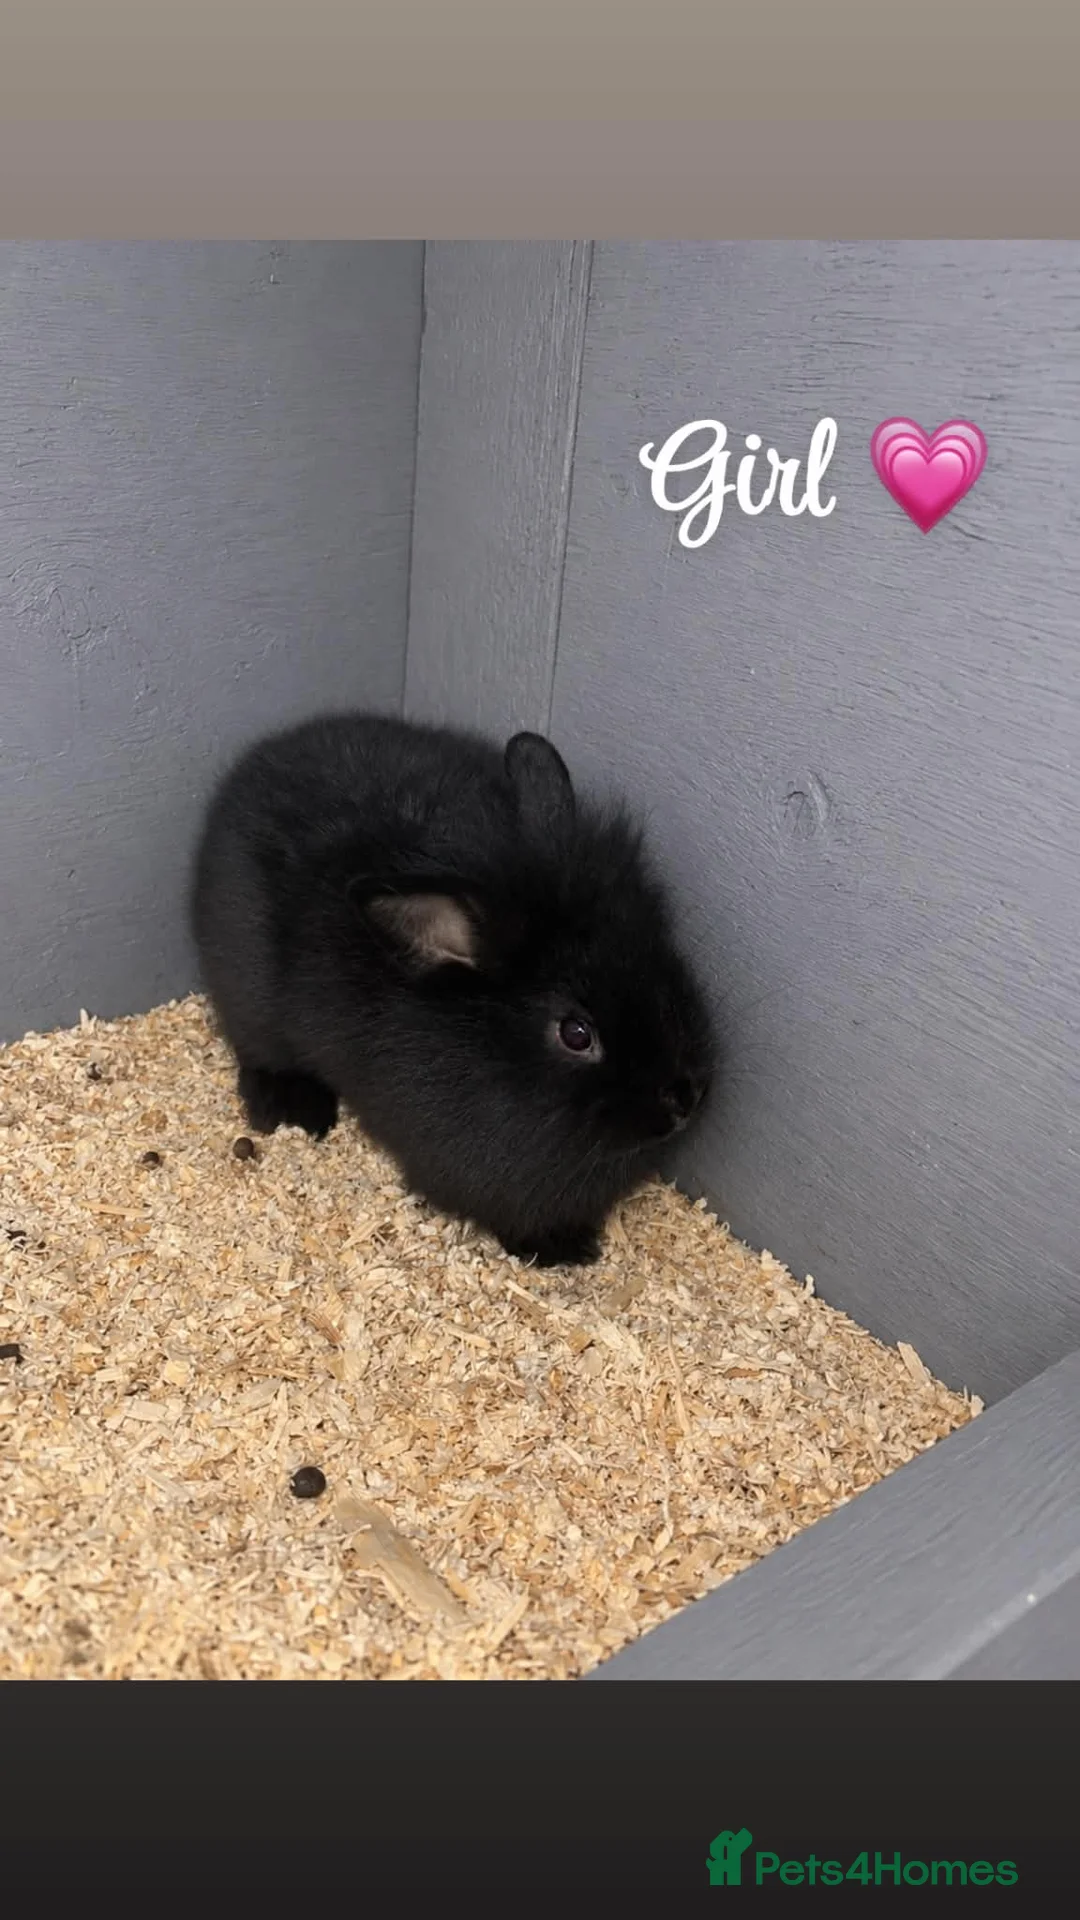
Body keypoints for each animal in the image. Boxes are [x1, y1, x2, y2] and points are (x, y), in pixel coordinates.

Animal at [189, 710, 715, 1268]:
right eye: (576, 1033)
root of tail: (258, 761)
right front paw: (563, 1251)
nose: (686, 1098)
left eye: (656, 948)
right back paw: (293, 1111)